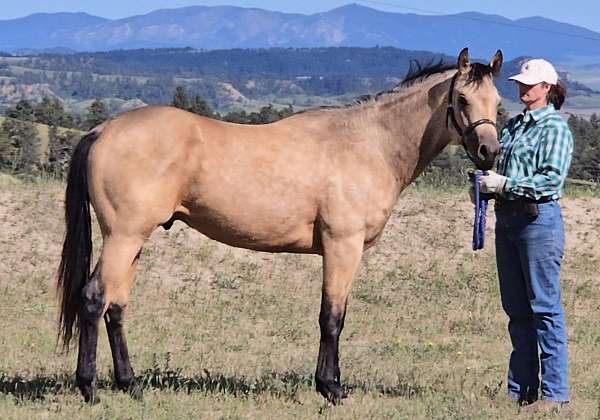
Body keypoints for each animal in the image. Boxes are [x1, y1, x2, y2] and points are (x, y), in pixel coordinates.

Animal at [57, 47, 502, 406]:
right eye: (462, 98)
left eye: (497, 102)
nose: (488, 152)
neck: (368, 144)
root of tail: (103, 130)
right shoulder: (342, 246)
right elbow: (332, 317)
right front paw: (331, 388)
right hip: (123, 236)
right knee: (94, 298)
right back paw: (90, 389)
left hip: (133, 241)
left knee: (116, 306)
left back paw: (130, 385)